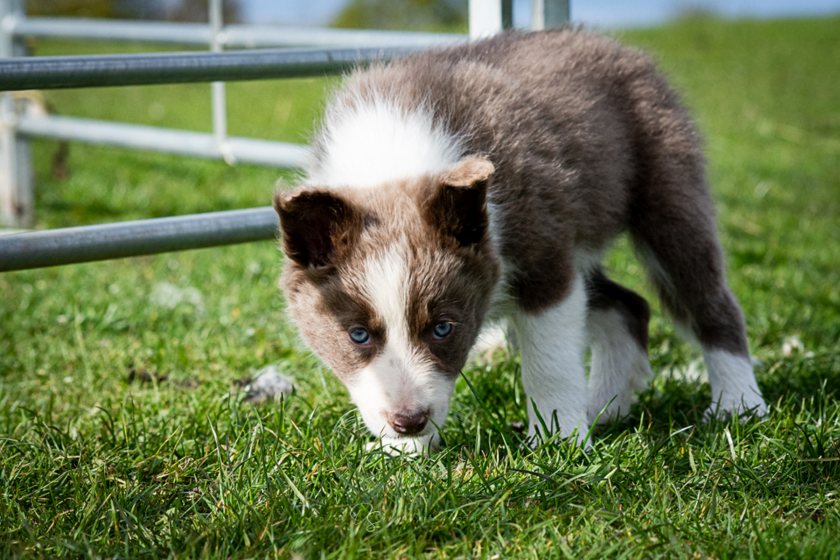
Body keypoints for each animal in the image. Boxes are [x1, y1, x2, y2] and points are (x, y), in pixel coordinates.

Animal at [272, 28, 764, 452]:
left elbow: (549, 361)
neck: (389, 160)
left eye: (443, 327)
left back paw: (737, 406)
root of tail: (613, 45)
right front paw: (407, 454)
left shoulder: (544, 261)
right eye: (357, 335)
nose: (409, 422)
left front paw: (560, 443)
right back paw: (605, 408)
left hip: (667, 192)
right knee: (629, 306)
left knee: (708, 301)